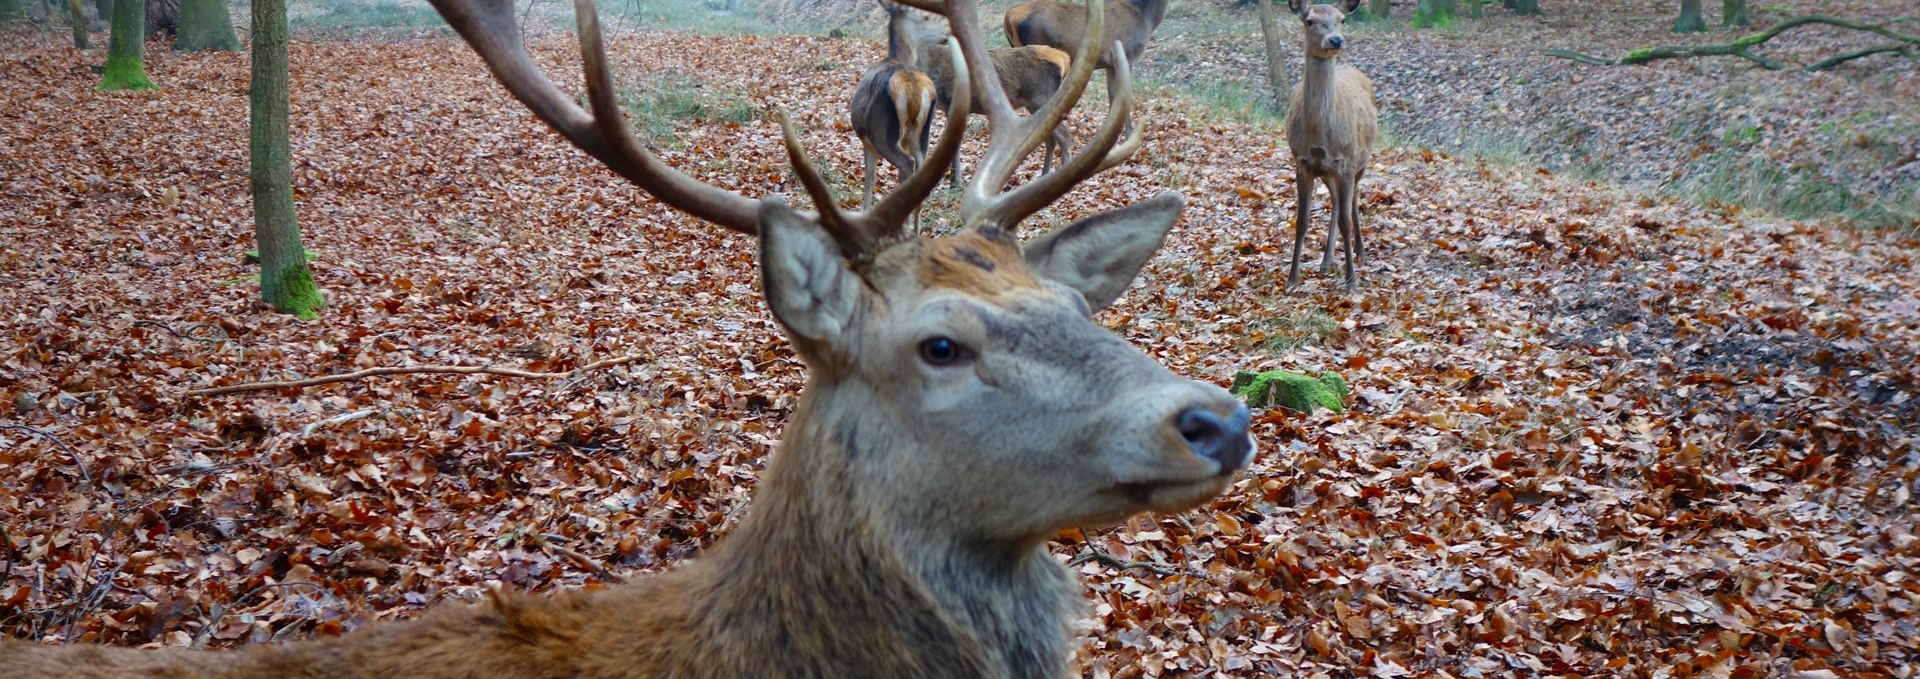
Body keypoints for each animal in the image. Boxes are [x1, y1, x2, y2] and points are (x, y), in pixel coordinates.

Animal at [856, 0, 944, 210]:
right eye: (926, 16)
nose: (948, 33)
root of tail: (913, 90)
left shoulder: (866, 141)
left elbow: (869, 178)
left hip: (882, 133)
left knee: (907, 164)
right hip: (923, 135)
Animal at [1282, 0, 1374, 289]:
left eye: (1342, 19)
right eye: (1310, 20)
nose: (1335, 40)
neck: (1319, 132)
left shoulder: (1347, 161)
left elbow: (1346, 220)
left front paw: (1351, 281)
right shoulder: (1302, 162)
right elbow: (1301, 220)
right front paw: (1292, 280)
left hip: (1362, 161)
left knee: (1354, 199)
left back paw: (1360, 253)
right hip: (1328, 171)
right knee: (1335, 201)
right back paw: (1326, 261)